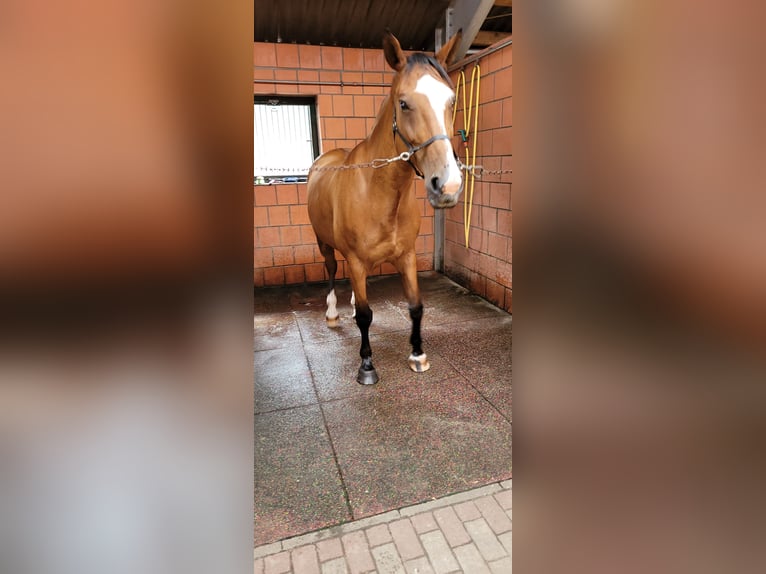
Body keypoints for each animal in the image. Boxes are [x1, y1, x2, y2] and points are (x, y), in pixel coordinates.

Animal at [308, 29, 464, 384]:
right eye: (403, 103)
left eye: (452, 100)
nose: (447, 185)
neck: (379, 192)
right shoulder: (354, 259)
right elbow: (365, 316)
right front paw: (367, 365)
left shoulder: (406, 255)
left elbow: (416, 306)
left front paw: (418, 355)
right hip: (324, 243)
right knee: (331, 270)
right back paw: (333, 312)